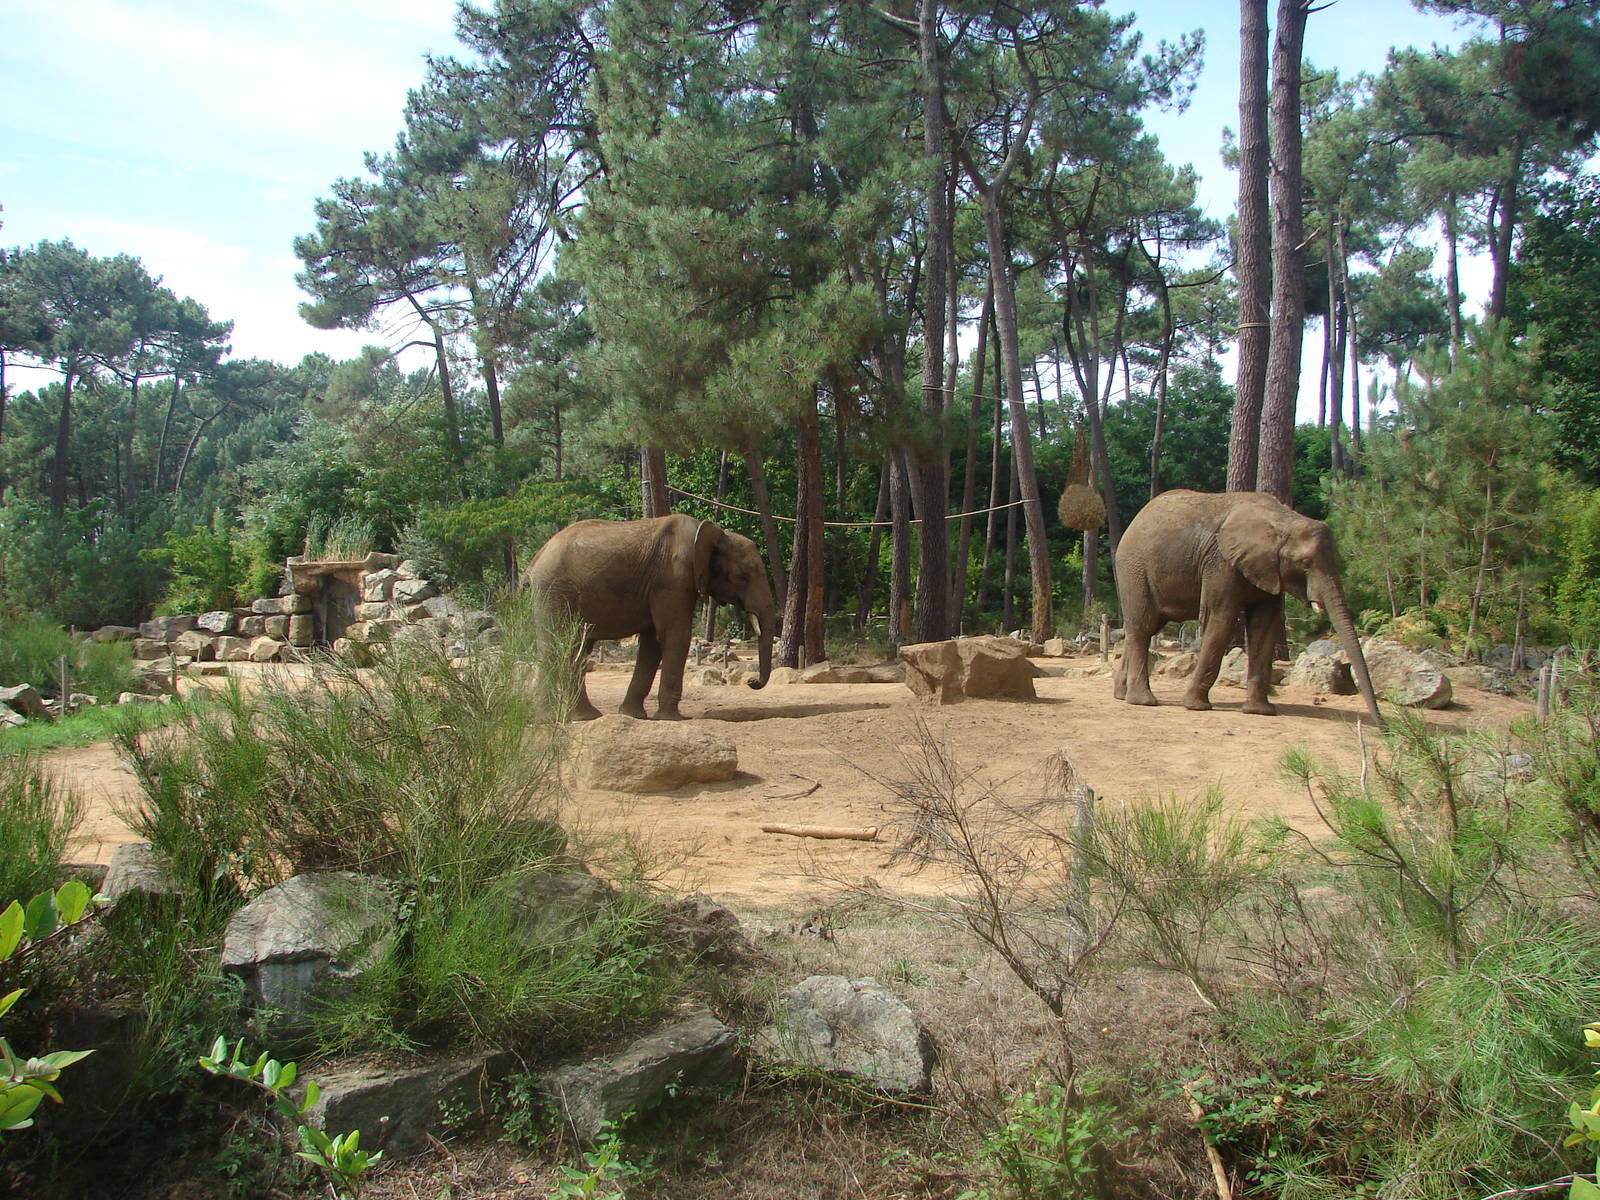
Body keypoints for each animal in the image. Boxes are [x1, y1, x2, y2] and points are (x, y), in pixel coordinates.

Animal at [521, 514, 775, 720]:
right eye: (743, 576)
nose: (751, 681)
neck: (710, 531)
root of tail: (536, 559)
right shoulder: (673, 578)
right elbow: (675, 635)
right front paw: (672, 719)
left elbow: (652, 642)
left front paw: (633, 716)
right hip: (553, 592)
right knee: (558, 647)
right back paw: (553, 719)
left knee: (575, 649)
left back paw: (582, 717)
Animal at [1112, 490, 1382, 725]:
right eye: (1305, 563)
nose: (1382, 725)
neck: (1284, 519)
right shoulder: (1220, 563)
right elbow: (1220, 618)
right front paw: (1197, 706)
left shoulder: (1269, 570)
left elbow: (1264, 625)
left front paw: (1260, 711)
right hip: (1134, 569)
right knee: (1143, 627)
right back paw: (1143, 701)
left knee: (1145, 628)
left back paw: (1121, 695)